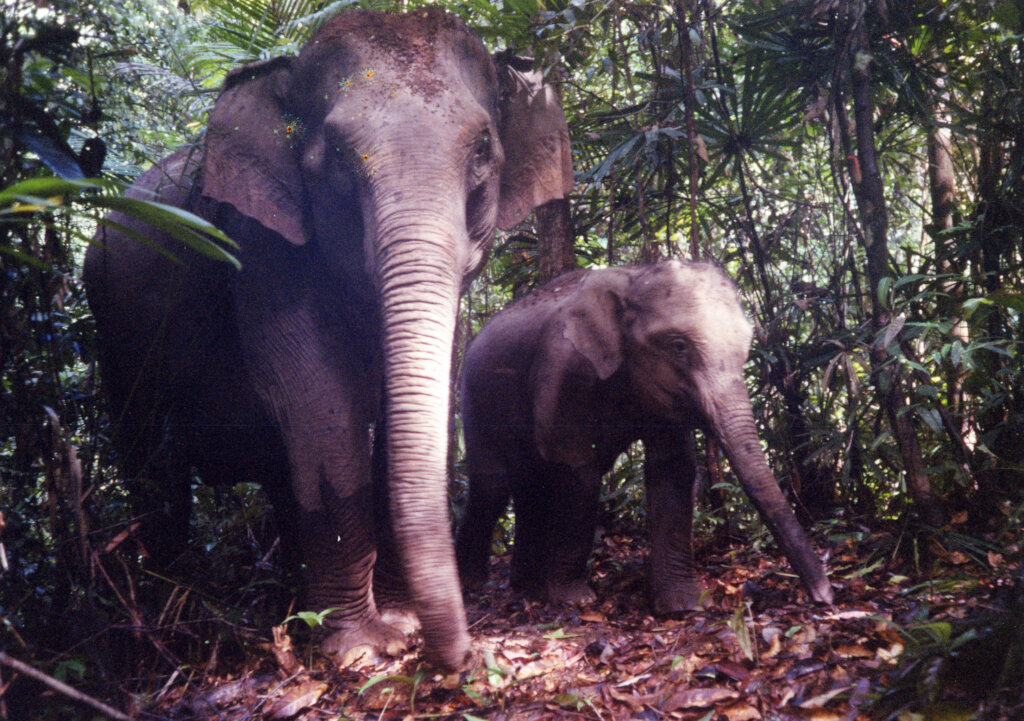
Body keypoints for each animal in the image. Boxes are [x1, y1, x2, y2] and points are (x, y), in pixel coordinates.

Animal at [83, 8, 573, 671]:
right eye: (336, 157)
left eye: (481, 151)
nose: (459, 659)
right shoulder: (260, 248)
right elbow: (321, 407)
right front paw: (362, 648)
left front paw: (400, 622)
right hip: (114, 331)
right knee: (153, 472)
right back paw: (176, 635)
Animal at [455, 260, 834, 613]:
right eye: (679, 346)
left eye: (746, 347)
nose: (824, 598)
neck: (633, 278)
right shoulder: (562, 368)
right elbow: (575, 467)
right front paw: (575, 599)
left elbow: (672, 467)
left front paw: (684, 605)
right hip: (473, 399)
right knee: (493, 485)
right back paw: (474, 585)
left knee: (527, 485)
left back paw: (526, 588)